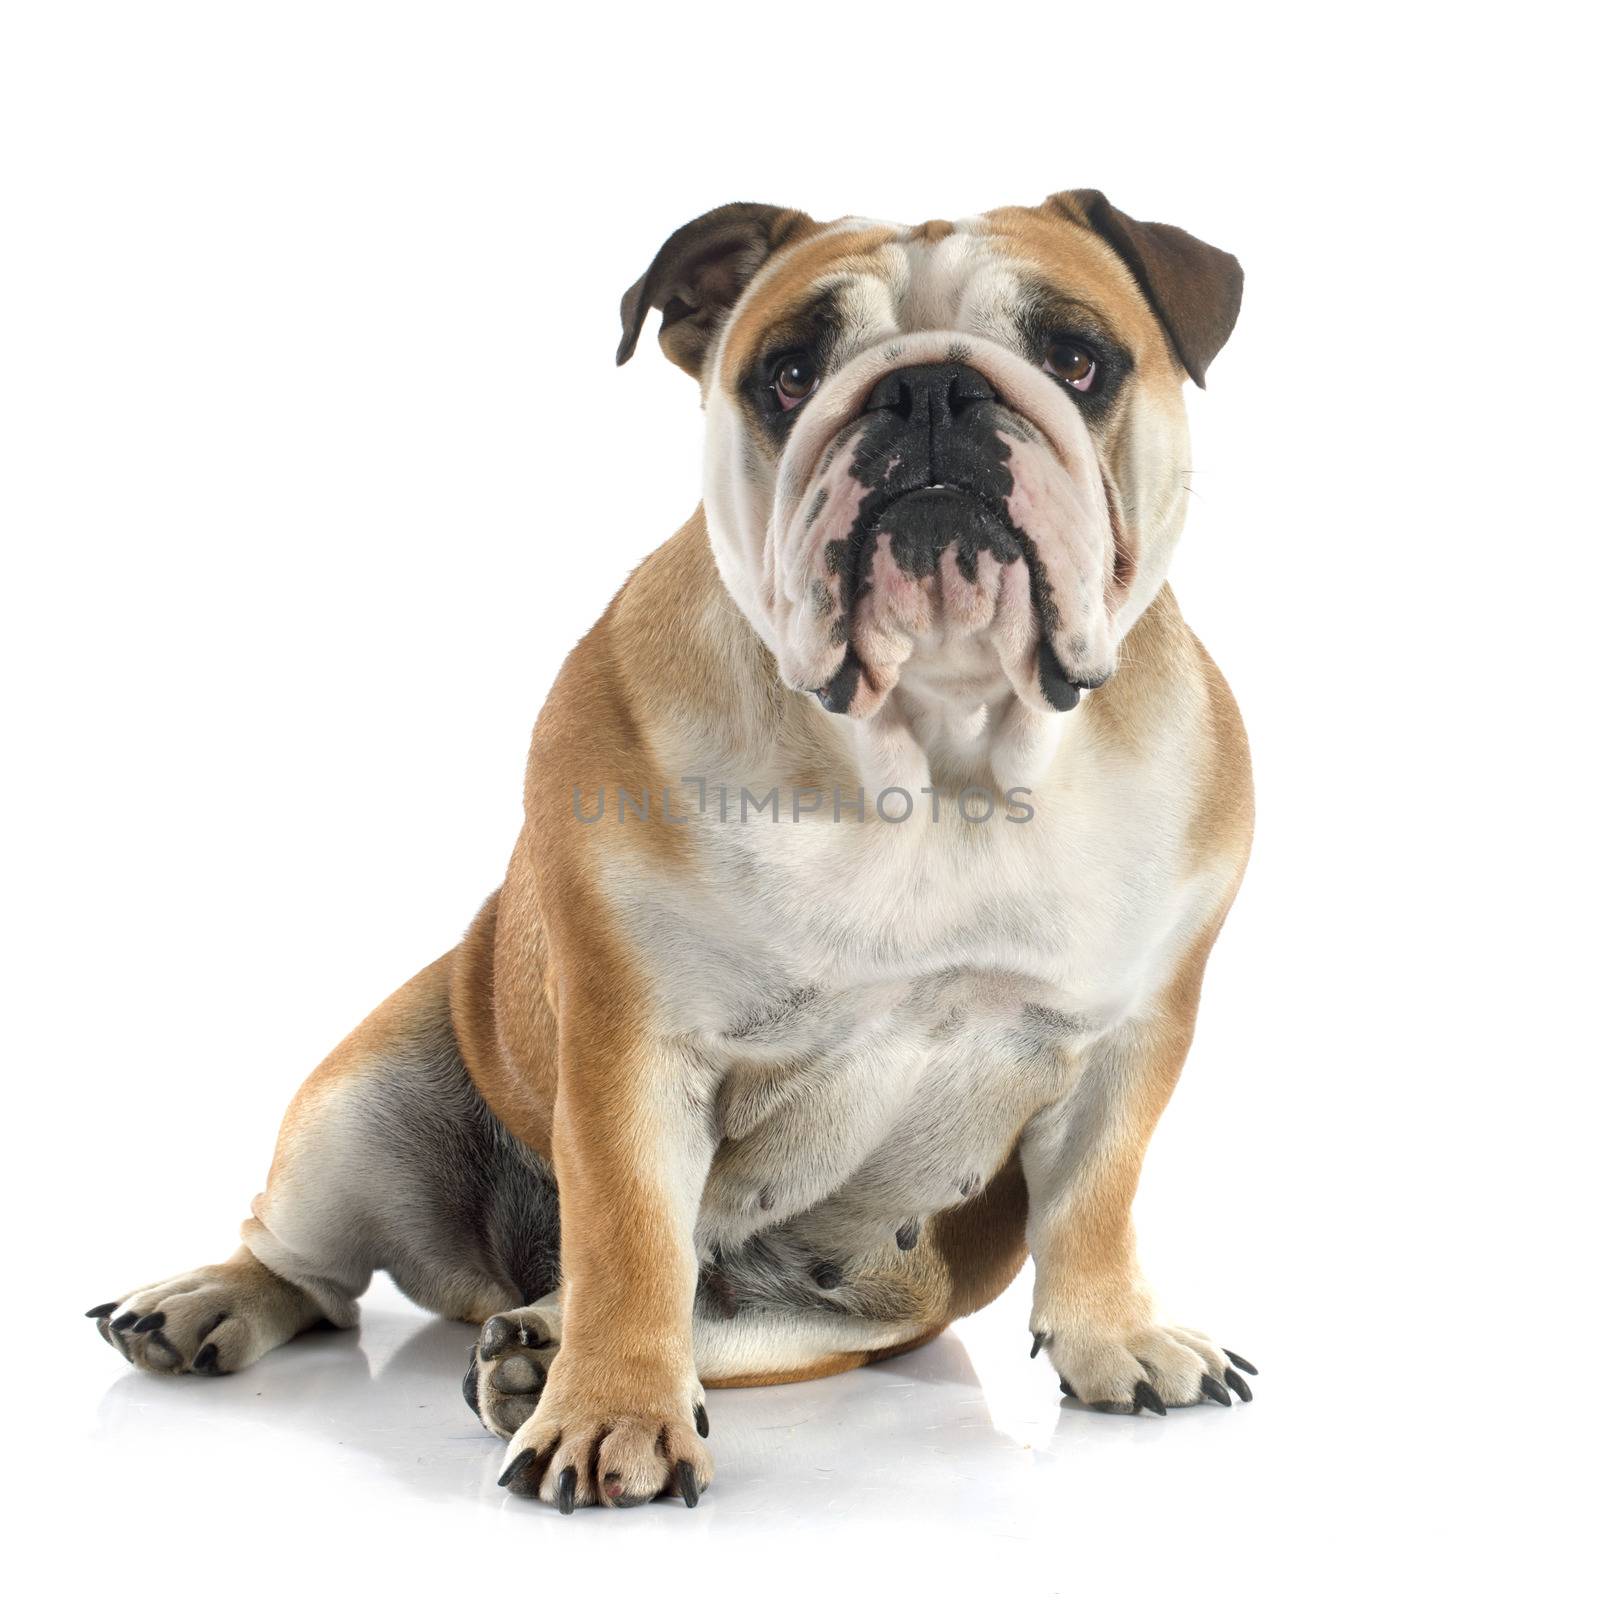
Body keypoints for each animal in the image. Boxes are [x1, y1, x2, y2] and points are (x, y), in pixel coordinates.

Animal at [87, 190, 1254, 1510]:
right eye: (789, 375)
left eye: (1076, 358)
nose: (932, 391)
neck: (933, 746)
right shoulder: (631, 1043)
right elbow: (632, 1239)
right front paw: (613, 1412)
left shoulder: (1134, 1032)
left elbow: (1096, 1195)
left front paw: (1117, 1335)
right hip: (361, 1103)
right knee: (325, 1269)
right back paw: (218, 1301)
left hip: (885, 1296)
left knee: (723, 1312)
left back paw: (529, 1351)